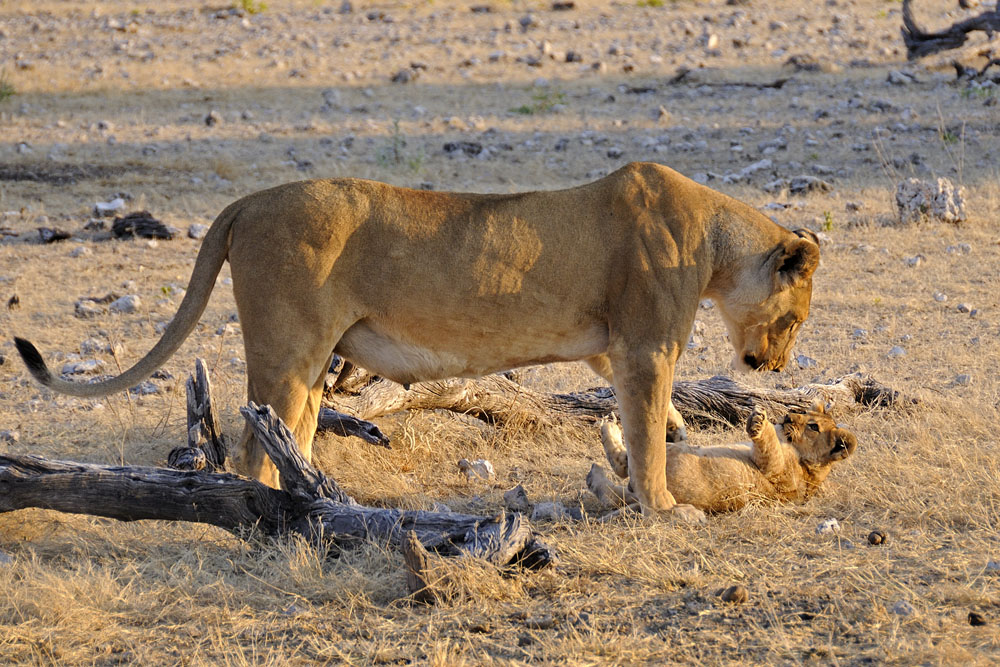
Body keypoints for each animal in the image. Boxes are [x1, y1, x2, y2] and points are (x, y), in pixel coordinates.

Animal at [14, 162, 819, 519]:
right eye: (798, 318)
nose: (774, 363)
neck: (715, 243)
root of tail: (248, 200)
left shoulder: (615, 349)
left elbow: (648, 424)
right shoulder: (645, 347)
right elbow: (648, 432)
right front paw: (664, 507)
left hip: (311, 363)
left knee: (291, 429)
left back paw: (325, 496)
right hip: (287, 348)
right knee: (251, 445)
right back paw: (282, 508)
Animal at [586, 404, 858, 516]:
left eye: (813, 426)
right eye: (804, 413)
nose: (788, 416)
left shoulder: (778, 473)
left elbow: (770, 449)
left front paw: (758, 419)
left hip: (660, 464)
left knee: (623, 467)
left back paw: (607, 434)